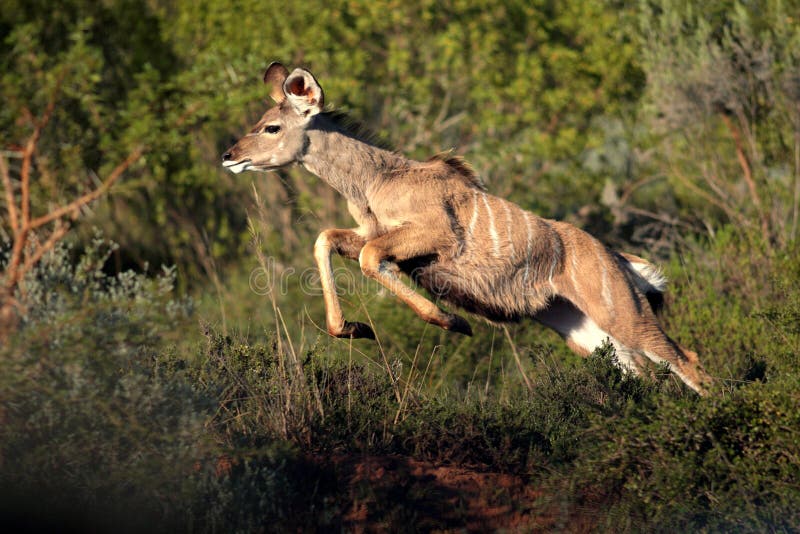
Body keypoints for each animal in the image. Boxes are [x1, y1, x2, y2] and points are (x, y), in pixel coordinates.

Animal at [223, 65, 712, 396]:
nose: (230, 155)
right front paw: (354, 328)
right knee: (646, 374)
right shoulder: (371, 234)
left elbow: (367, 257)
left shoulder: (435, 237)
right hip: (585, 332)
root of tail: (619, 261)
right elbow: (327, 239)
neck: (377, 181)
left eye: (272, 127)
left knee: (687, 362)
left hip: (623, 315)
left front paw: (451, 321)